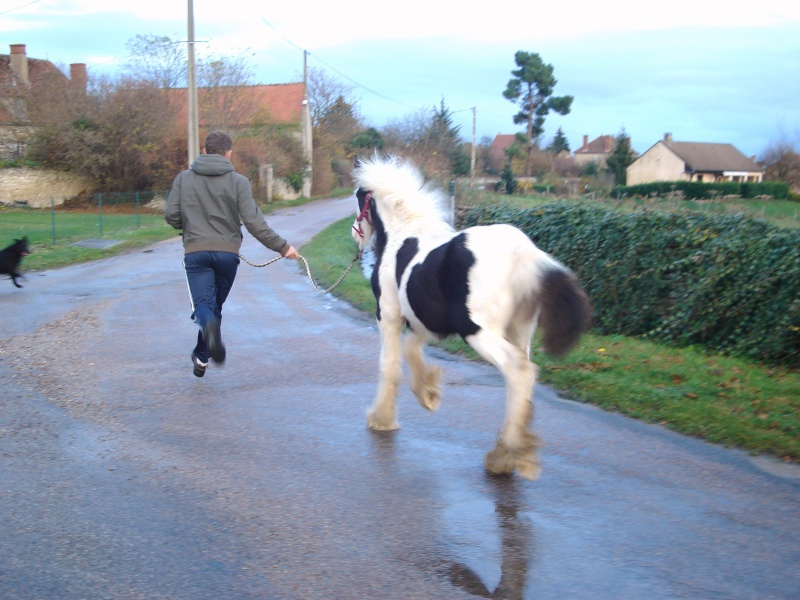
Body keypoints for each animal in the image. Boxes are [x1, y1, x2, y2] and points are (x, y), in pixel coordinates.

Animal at [354, 155, 592, 478]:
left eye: (358, 200)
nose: (356, 234)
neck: (405, 233)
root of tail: (527, 256)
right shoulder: (423, 319)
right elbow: (412, 349)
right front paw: (429, 393)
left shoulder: (389, 314)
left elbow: (389, 365)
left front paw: (381, 418)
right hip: (519, 332)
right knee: (522, 376)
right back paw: (509, 451)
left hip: (478, 330)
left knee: (518, 372)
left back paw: (506, 455)